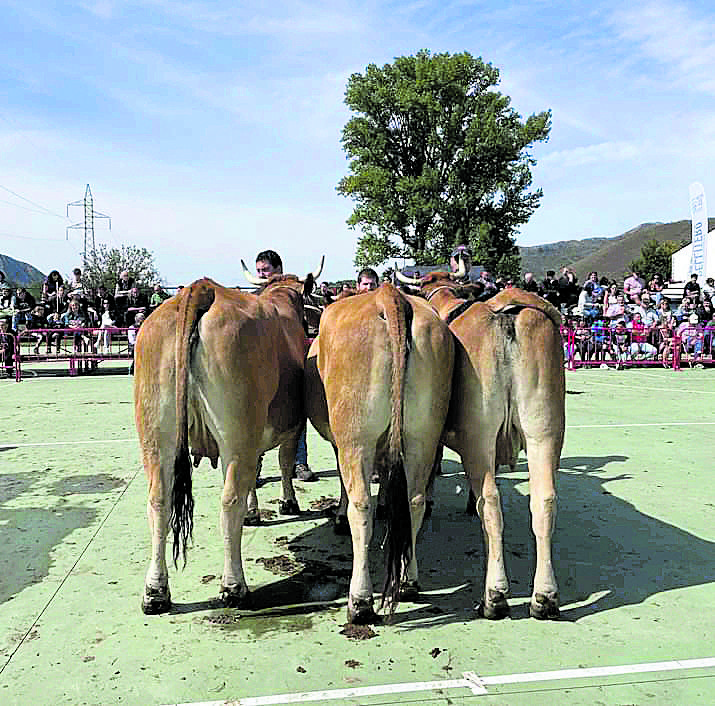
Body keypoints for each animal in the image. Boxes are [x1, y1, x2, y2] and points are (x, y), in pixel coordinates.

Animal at [134, 270, 316, 612]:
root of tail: (202, 289)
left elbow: (256, 473)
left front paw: (254, 512)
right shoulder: (291, 425)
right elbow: (283, 462)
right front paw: (288, 503)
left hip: (156, 434)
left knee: (158, 500)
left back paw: (155, 592)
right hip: (237, 430)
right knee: (229, 500)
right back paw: (234, 587)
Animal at [306, 280, 454, 620]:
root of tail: (389, 295)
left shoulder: (340, 442)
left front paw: (338, 517)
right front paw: (387, 504)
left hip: (356, 437)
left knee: (361, 506)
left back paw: (359, 600)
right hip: (422, 435)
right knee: (415, 501)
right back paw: (410, 581)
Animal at [398, 268, 564, 616]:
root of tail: (507, 314)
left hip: (480, 437)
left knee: (491, 502)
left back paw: (494, 595)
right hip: (545, 429)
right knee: (544, 500)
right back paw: (544, 597)